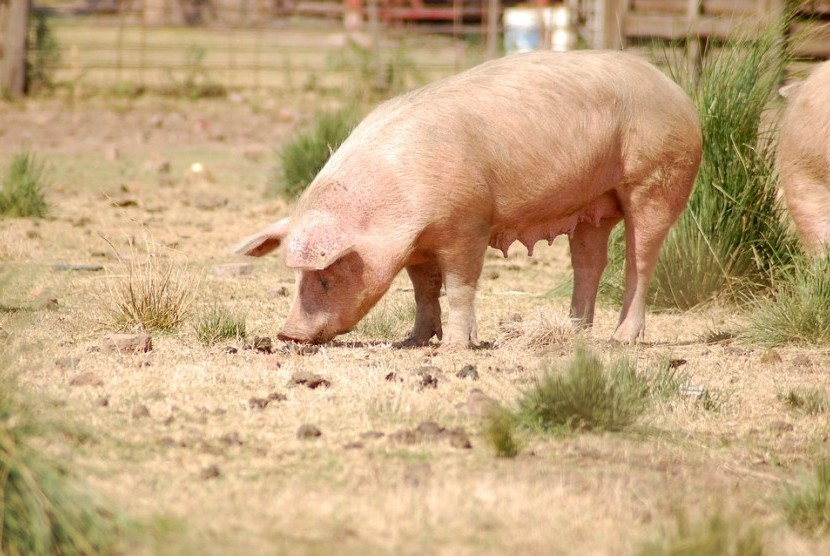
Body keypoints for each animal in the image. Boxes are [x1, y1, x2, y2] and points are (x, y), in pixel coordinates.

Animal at [232, 51, 704, 348]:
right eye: (296, 277)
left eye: (327, 276)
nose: (288, 334)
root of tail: (679, 94)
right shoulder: (417, 245)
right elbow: (424, 290)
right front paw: (413, 340)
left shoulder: (468, 223)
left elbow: (459, 286)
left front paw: (457, 347)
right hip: (592, 206)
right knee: (589, 263)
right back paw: (573, 334)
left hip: (656, 178)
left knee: (640, 260)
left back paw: (621, 339)